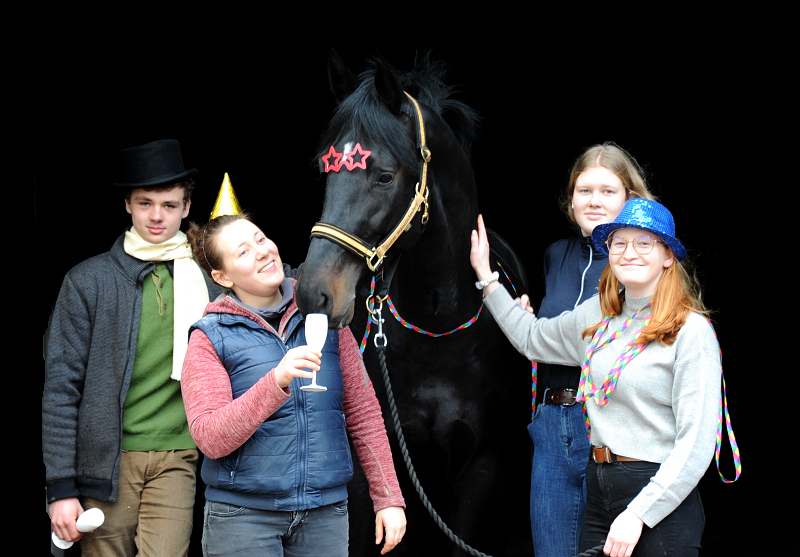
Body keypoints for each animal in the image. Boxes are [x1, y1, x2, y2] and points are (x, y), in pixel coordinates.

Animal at [296, 50, 536, 552]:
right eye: (326, 171)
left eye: (385, 176)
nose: (314, 292)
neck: (438, 327)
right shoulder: (373, 464)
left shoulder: (480, 470)